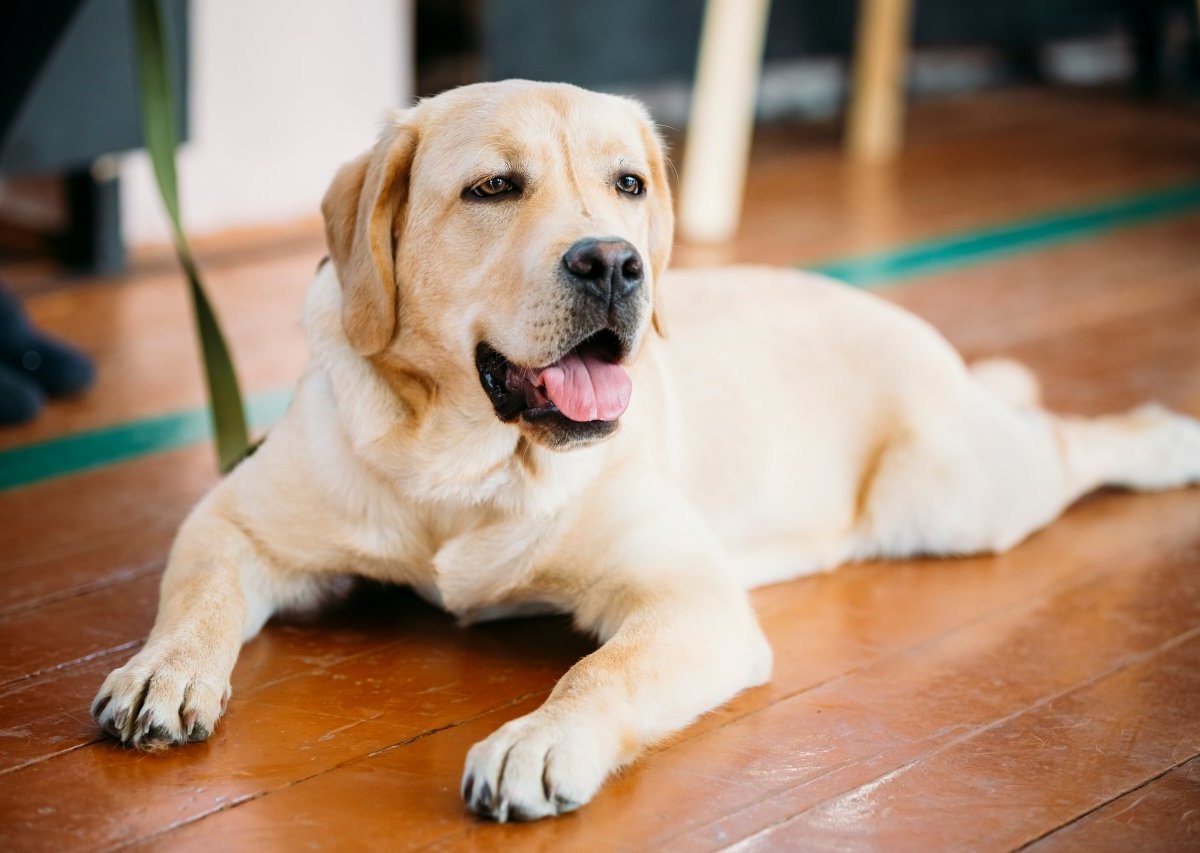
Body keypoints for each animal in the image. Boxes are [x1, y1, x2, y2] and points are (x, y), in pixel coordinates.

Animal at [91, 80, 1200, 820]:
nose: (616, 263)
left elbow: (601, 674)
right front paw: (162, 672)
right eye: (493, 187)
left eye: (628, 184)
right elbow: (197, 598)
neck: (469, 460)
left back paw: (1166, 438)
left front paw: (540, 740)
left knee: (1068, 435)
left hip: (953, 494)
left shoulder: (690, 600)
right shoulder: (233, 518)